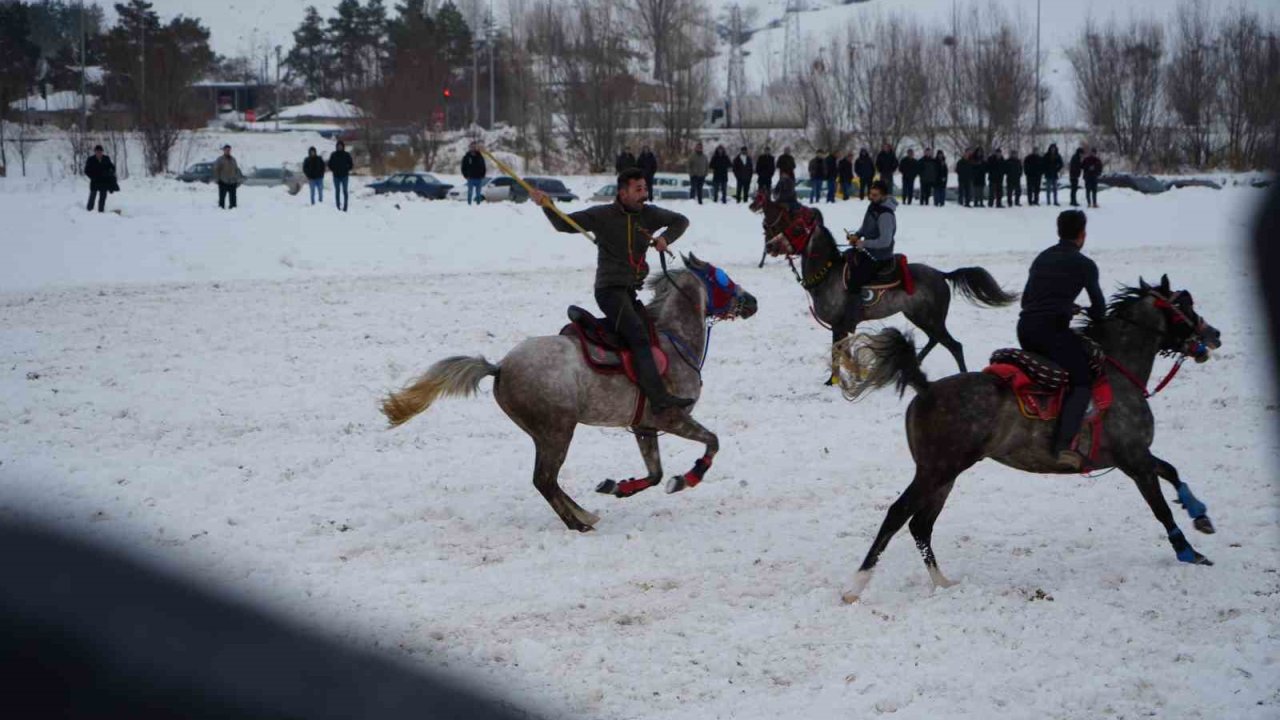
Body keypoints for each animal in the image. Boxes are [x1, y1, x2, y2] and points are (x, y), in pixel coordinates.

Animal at [378, 254, 757, 530]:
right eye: (722, 278)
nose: (751, 301)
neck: (673, 339)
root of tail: (500, 367)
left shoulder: (644, 427)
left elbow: (654, 473)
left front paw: (618, 486)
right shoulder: (672, 417)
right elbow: (711, 443)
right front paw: (686, 479)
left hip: (544, 434)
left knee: (548, 481)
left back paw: (584, 513)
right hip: (557, 430)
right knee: (544, 480)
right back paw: (580, 522)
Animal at [839, 274, 1218, 599]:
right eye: (1185, 304)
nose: (1214, 335)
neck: (1117, 371)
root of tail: (927, 387)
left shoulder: (1135, 456)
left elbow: (1171, 471)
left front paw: (1200, 513)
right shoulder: (1134, 459)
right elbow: (1161, 508)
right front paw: (1190, 552)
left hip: (942, 475)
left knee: (921, 525)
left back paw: (942, 582)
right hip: (936, 471)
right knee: (898, 515)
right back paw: (855, 586)